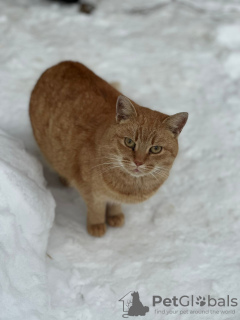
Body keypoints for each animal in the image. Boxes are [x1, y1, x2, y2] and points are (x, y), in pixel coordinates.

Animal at [29, 62, 188, 236]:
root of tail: (62, 63)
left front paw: (115, 215)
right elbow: (96, 208)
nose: (138, 162)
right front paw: (97, 226)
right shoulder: (90, 191)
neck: (132, 185)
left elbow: (114, 204)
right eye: (129, 142)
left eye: (156, 149)